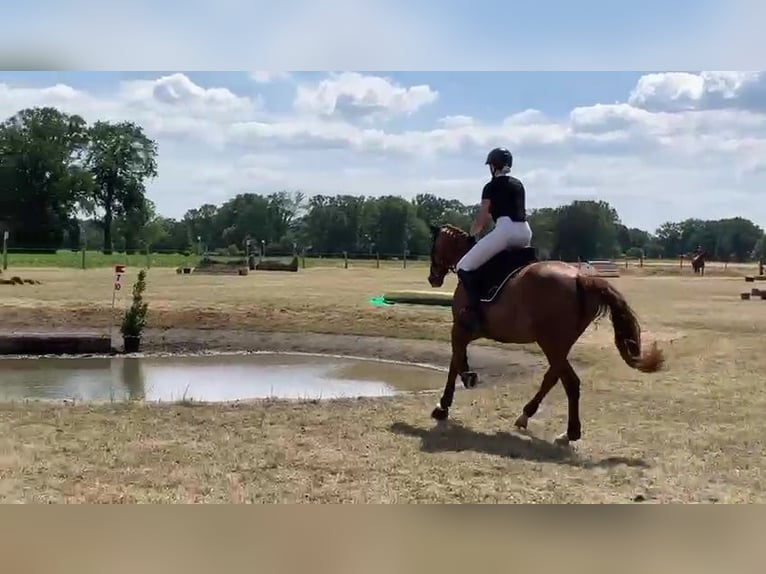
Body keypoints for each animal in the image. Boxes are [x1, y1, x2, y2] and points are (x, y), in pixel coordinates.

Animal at [426, 224, 664, 446]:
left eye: (433, 247)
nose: (432, 278)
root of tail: (580, 278)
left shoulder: (460, 329)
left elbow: (454, 362)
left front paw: (444, 404)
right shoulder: (467, 331)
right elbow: (458, 359)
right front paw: (464, 381)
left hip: (550, 342)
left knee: (564, 379)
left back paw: (539, 420)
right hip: (558, 344)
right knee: (562, 379)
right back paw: (564, 430)